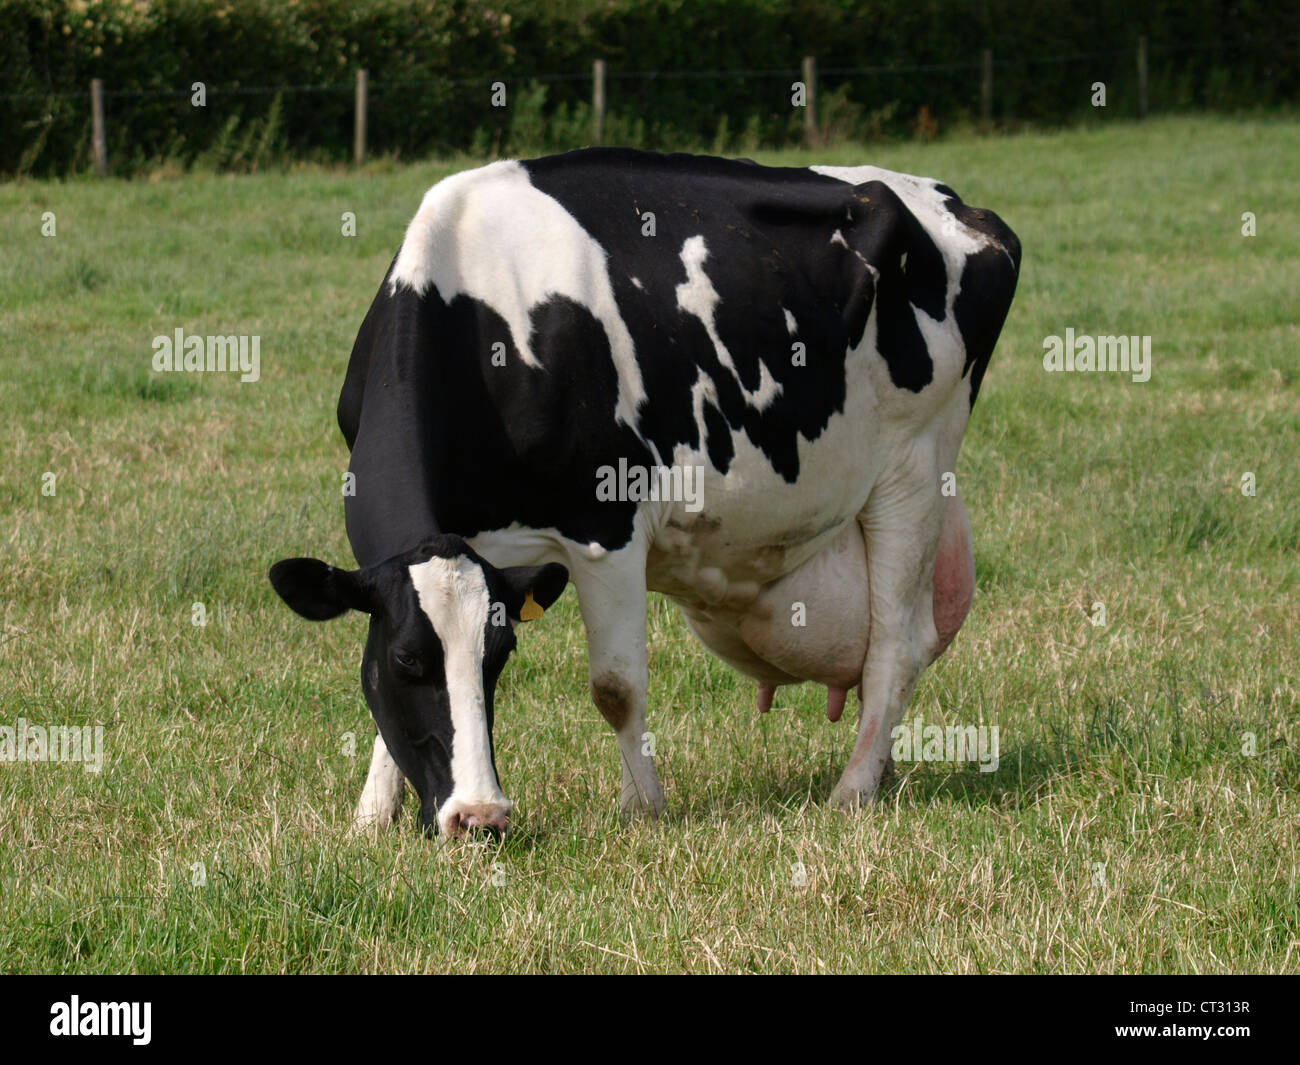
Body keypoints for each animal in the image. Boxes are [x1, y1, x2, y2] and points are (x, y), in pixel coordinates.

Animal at [268, 147, 1020, 837]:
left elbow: (616, 686)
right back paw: (882, 769)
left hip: (914, 466)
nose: (478, 817)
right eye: (407, 660)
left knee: (895, 646)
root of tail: (953, 202)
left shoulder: (608, 524)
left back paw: (853, 790)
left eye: (501, 655)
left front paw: (642, 809)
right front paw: (371, 818)